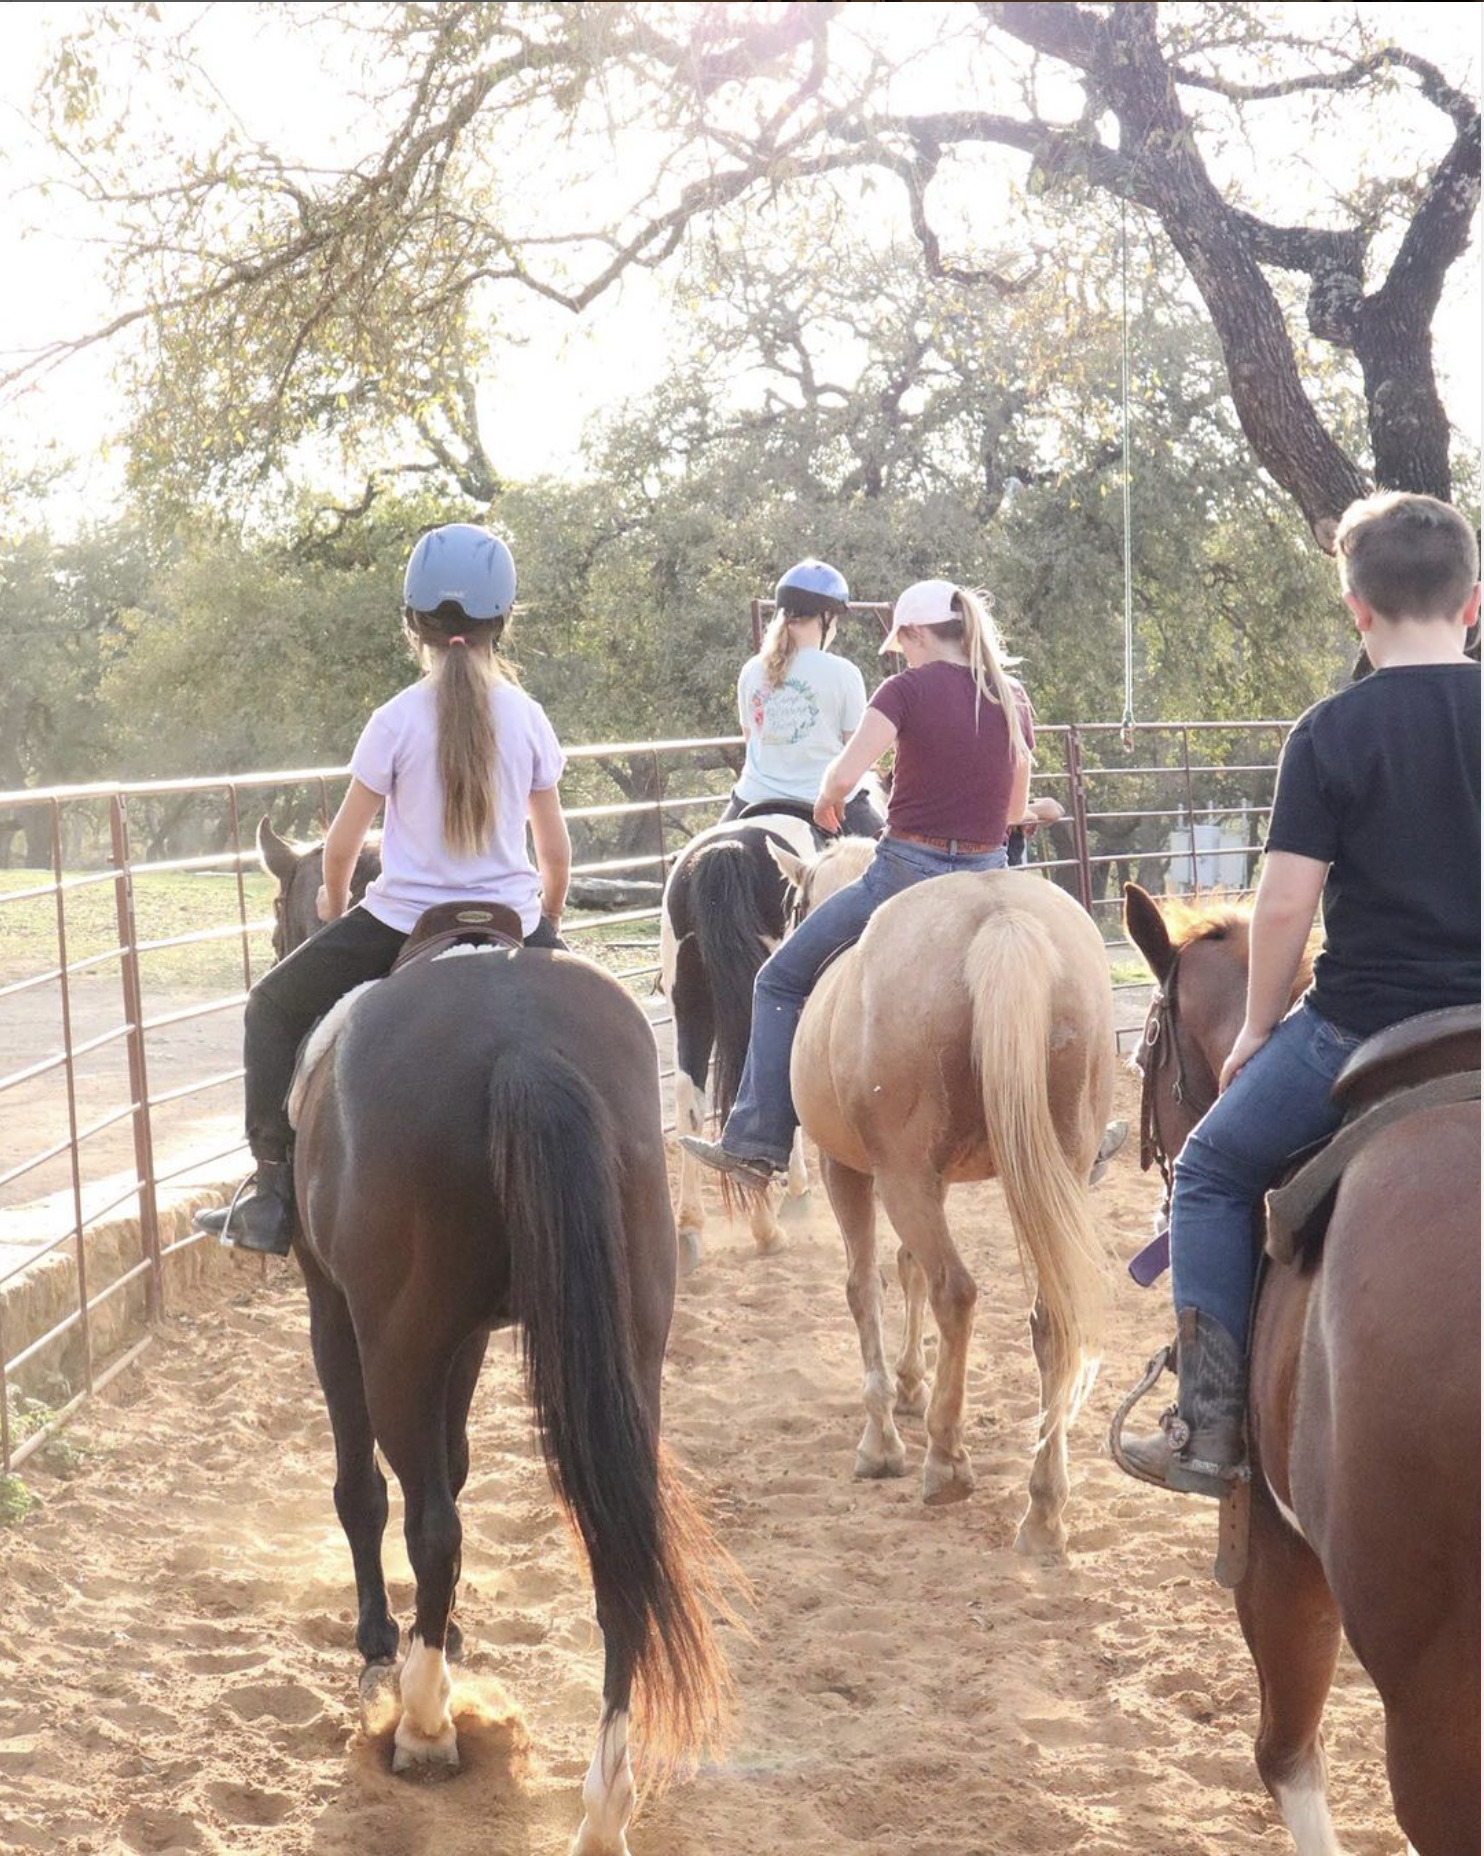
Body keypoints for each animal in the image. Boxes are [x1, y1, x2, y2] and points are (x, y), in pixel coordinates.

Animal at [775, 838, 1113, 1551]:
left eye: (793, 901)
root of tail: (1000, 919)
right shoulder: (932, 1180)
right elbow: (906, 1269)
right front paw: (910, 1385)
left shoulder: (849, 1169)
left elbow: (865, 1287)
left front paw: (881, 1440)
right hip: (1051, 1169)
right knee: (1051, 1315)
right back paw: (1044, 1509)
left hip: (903, 1177)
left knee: (955, 1290)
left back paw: (946, 1463)